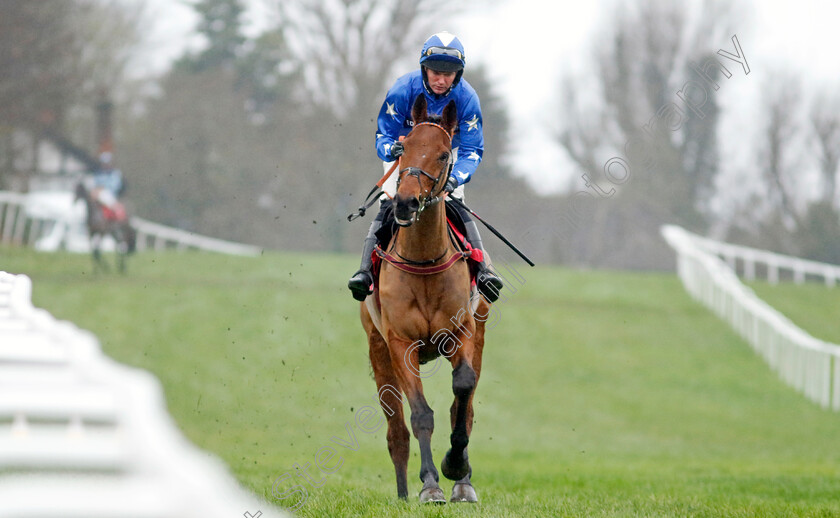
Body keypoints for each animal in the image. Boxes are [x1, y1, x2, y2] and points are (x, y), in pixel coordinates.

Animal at [360, 95, 492, 506]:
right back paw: (404, 492)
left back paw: (463, 481)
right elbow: (420, 415)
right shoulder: (401, 343)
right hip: (378, 350)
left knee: (463, 406)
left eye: (443, 153)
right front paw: (430, 484)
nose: (405, 202)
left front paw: (455, 467)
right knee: (396, 430)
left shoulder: (462, 333)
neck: (425, 262)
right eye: (403, 149)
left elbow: (461, 394)